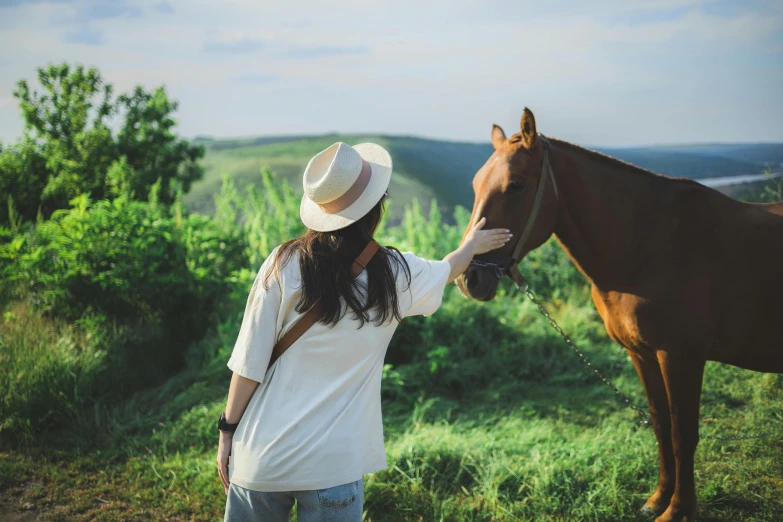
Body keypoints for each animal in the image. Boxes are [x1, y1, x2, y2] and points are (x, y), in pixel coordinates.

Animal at [456, 108, 783, 520]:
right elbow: (661, 426)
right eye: (474, 184)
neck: (648, 248)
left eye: (516, 185)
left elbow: (683, 433)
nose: (468, 278)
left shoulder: (681, 356)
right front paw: (658, 499)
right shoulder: (641, 354)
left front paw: (679, 509)